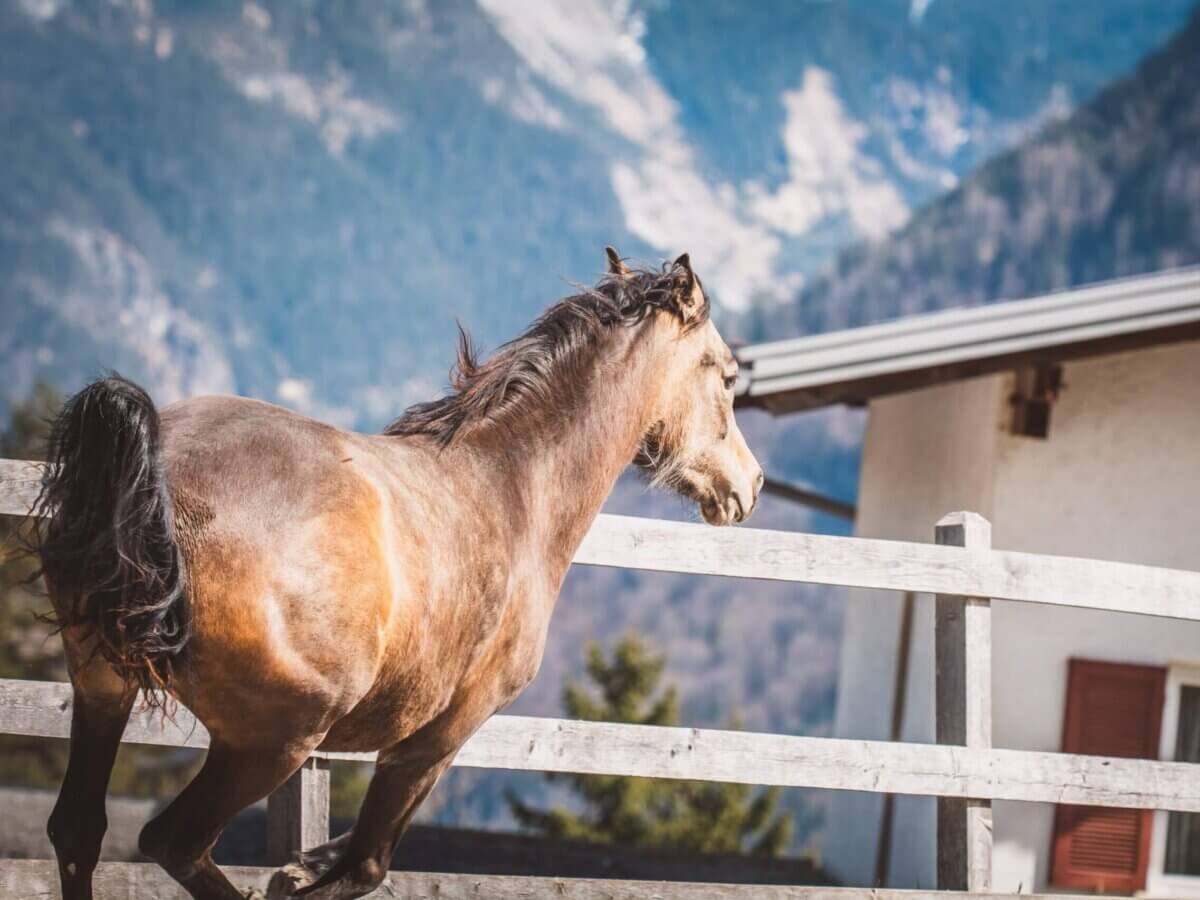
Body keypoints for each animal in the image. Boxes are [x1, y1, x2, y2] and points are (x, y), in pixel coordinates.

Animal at [33, 248, 763, 900]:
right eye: (730, 378)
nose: (750, 486)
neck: (513, 485)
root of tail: (158, 467)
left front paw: (298, 865)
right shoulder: (436, 738)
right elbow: (363, 866)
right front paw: (295, 875)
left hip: (103, 689)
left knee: (78, 831)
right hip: (274, 740)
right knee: (173, 842)